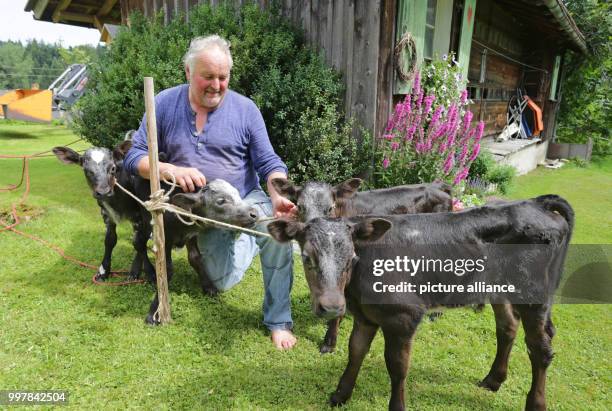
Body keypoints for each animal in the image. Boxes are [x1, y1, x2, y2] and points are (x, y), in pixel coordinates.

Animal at [52, 142, 155, 284]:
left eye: (113, 168)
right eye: (86, 170)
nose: (103, 192)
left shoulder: (139, 214)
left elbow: (138, 243)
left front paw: (149, 273)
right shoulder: (106, 215)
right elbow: (109, 240)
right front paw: (103, 271)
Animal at [134, 179, 258, 326]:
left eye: (238, 194)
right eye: (221, 201)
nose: (254, 213)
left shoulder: (192, 235)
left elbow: (195, 258)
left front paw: (209, 287)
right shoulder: (165, 237)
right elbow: (165, 269)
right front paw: (155, 311)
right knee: (138, 242)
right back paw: (147, 272)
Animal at [268, 196, 572, 411]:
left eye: (351, 257)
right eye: (307, 257)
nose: (331, 307)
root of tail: (535, 204)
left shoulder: (404, 316)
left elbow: (397, 366)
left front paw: (396, 406)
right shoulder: (365, 315)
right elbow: (355, 351)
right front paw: (340, 395)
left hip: (534, 293)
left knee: (540, 349)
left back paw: (535, 404)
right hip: (501, 289)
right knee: (508, 326)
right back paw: (492, 380)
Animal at [272, 175, 454, 352]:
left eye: (330, 208)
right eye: (300, 206)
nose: (312, 234)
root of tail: (438, 186)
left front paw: (329, 341)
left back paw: (436, 314)